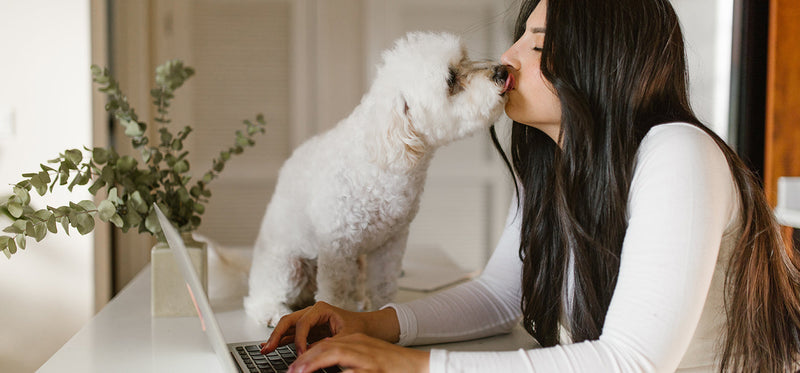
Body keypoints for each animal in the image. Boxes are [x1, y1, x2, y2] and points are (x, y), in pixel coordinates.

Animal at [245, 32, 512, 324]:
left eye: (464, 58)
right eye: (450, 79)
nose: (502, 71)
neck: (381, 162)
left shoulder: (389, 245)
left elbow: (383, 285)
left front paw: (382, 310)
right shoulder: (338, 247)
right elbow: (335, 293)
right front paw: (333, 316)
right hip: (287, 265)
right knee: (260, 298)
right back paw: (272, 312)